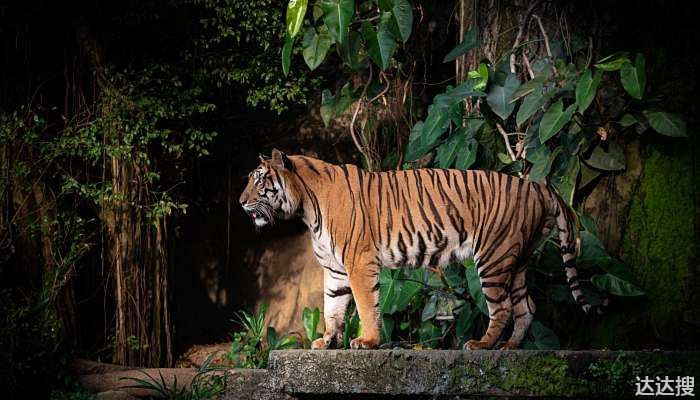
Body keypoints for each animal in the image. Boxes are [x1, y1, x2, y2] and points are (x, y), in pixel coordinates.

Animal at [238, 149, 588, 350]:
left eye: (259, 180)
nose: (241, 203)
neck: (306, 208)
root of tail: (537, 186)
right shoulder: (335, 269)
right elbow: (332, 307)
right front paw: (327, 341)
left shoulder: (359, 262)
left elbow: (365, 305)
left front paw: (367, 341)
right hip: (516, 260)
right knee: (526, 306)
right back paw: (510, 347)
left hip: (494, 257)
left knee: (501, 308)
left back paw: (482, 345)